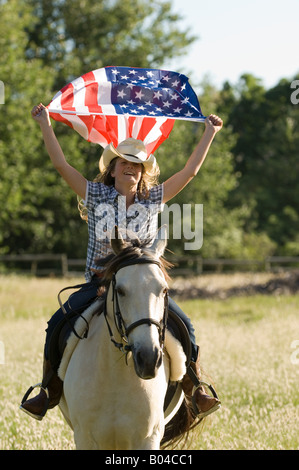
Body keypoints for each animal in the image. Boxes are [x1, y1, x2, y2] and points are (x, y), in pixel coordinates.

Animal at [58, 229, 198, 452]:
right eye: (120, 291)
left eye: (164, 290)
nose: (149, 359)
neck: (115, 375)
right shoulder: (85, 438)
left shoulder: (148, 439)